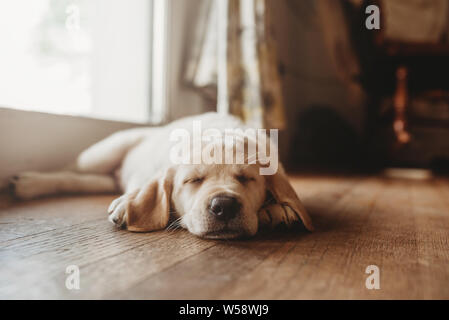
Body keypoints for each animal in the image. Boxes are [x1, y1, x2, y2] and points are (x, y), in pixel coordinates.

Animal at [9, 112, 312, 238]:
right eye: (193, 181)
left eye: (247, 179)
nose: (223, 206)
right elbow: (149, 186)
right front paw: (129, 203)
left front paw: (276, 211)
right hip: (101, 153)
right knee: (70, 171)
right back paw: (28, 182)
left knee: (96, 182)